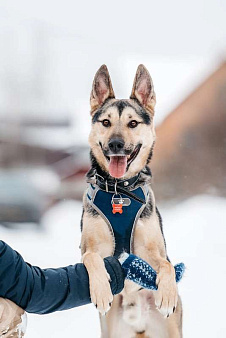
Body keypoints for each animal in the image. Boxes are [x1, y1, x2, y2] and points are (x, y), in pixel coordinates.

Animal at [80, 64, 183, 336]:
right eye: (106, 122)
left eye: (133, 123)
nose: (116, 144)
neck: (120, 189)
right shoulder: (90, 248)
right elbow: (93, 258)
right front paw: (101, 291)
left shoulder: (151, 251)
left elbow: (167, 265)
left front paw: (167, 294)